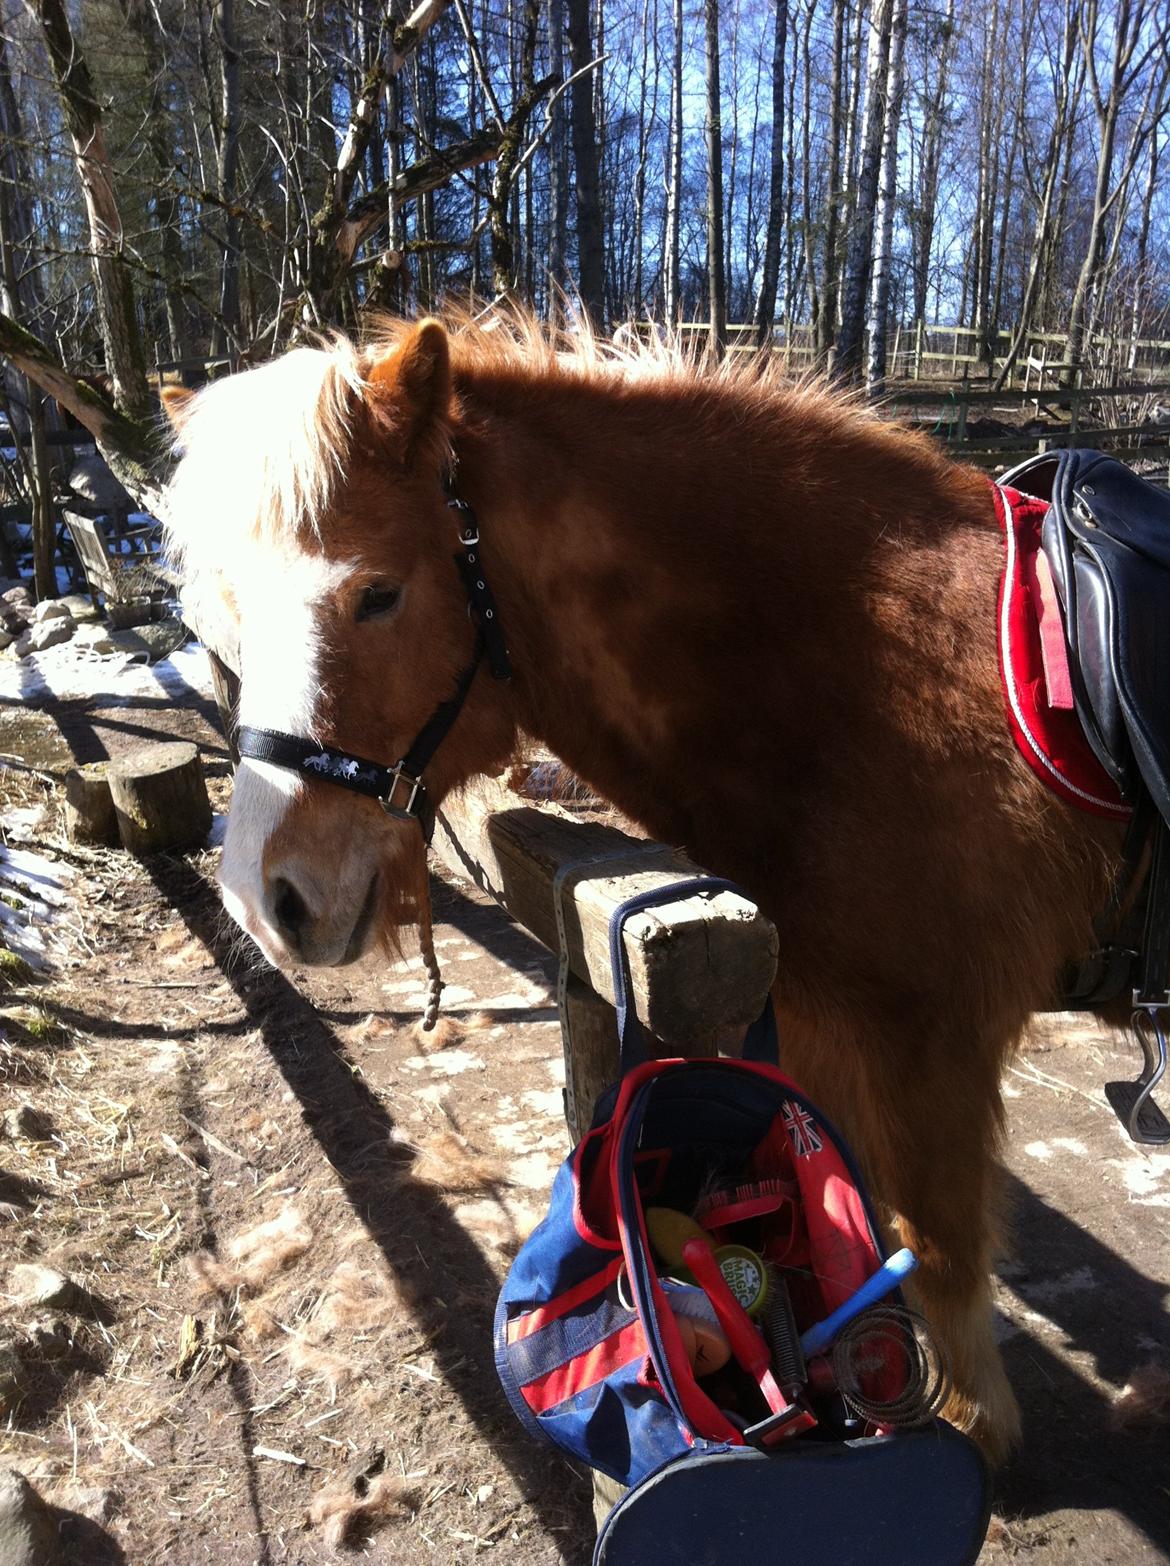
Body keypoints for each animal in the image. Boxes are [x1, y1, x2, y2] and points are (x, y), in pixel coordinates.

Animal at [160, 311, 1121, 1459]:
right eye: (225, 615)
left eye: (379, 594)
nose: (266, 899)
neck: (868, 679)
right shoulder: (823, 1030)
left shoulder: (935, 1048)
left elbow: (937, 1257)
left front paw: (971, 1430)